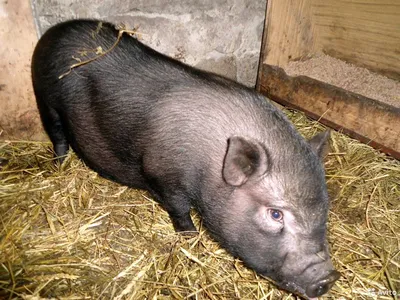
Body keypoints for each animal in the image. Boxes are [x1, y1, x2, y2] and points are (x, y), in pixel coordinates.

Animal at [31, 19, 340, 298]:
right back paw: (59, 164)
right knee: (58, 134)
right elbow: (178, 209)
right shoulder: (161, 173)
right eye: (276, 214)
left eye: (324, 208)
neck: (210, 163)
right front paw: (190, 237)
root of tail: (54, 32)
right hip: (46, 100)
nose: (329, 278)